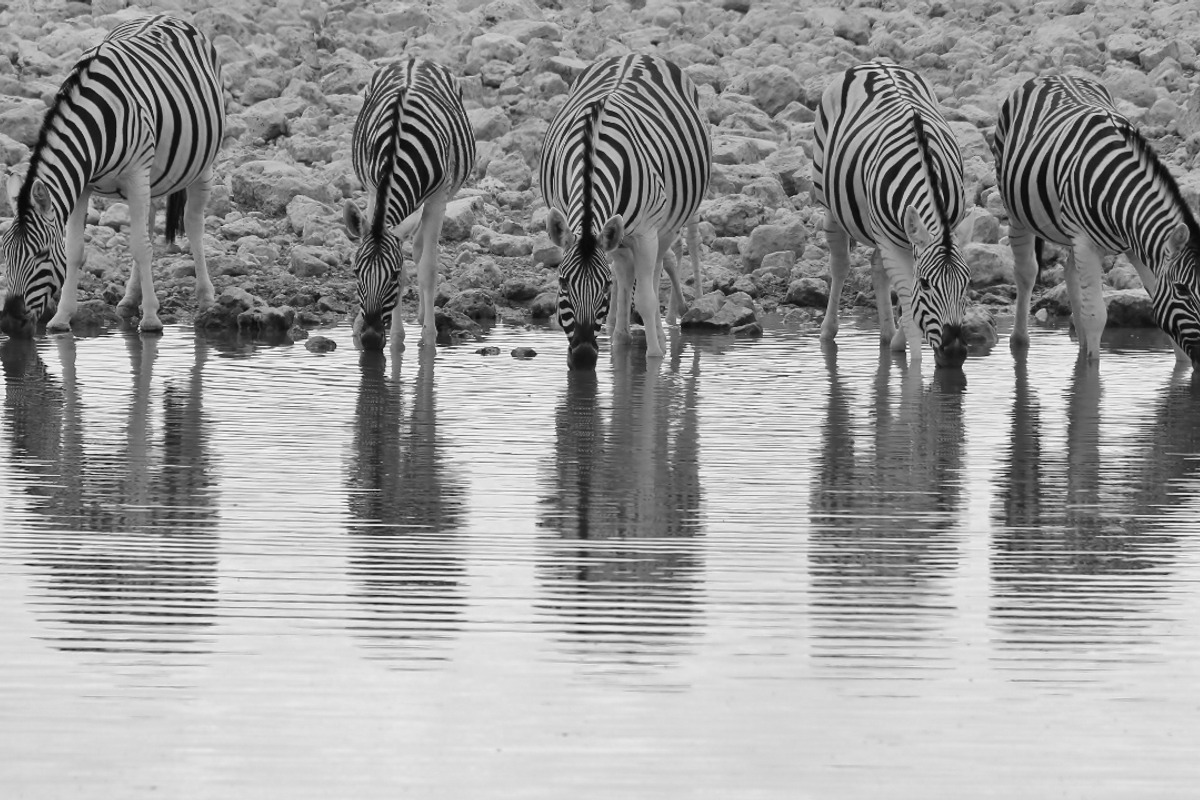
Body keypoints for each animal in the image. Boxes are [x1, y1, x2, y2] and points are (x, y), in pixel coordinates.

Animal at [1, 15, 225, 337]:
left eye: (41, 254)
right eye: (5, 255)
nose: (9, 322)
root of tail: (168, 14)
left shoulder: (135, 174)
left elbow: (141, 247)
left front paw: (152, 319)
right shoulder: (83, 184)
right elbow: (75, 250)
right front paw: (62, 317)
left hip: (201, 162)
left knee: (193, 225)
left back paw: (206, 298)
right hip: (152, 176)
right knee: (148, 224)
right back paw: (131, 299)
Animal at [342, 58, 476, 352]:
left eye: (391, 276)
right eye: (356, 272)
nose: (370, 340)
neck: (397, 142)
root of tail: (414, 59)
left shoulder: (438, 197)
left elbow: (427, 269)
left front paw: (428, 337)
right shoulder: (373, 190)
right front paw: (396, 337)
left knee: (421, 248)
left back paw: (424, 314)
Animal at [539, 54, 711, 370]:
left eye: (604, 286)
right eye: (562, 282)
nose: (583, 357)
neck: (593, 153)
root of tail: (637, 55)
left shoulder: (645, 234)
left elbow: (645, 298)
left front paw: (655, 356)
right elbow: (626, 282)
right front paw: (620, 342)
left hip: (668, 222)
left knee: (660, 266)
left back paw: (662, 331)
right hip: (621, 234)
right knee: (631, 270)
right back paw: (622, 335)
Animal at [814, 62, 973, 369]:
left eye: (966, 283)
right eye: (926, 284)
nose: (955, 353)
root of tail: (876, 62)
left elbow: (906, 301)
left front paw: (898, 343)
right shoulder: (892, 243)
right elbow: (911, 309)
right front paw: (914, 370)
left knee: (877, 267)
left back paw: (888, 335)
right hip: (829, 201)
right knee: (840, 265)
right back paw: (828, 331)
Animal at [993, 74, 1200, 366]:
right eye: (1182, 290)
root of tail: (1055, 75)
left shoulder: (1139, 248)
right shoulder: (1086, 242)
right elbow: (1096, 317)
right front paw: (1089, 370)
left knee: (1070, 273)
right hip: (1015, 211)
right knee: (1026, 273)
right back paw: (1020, 341)